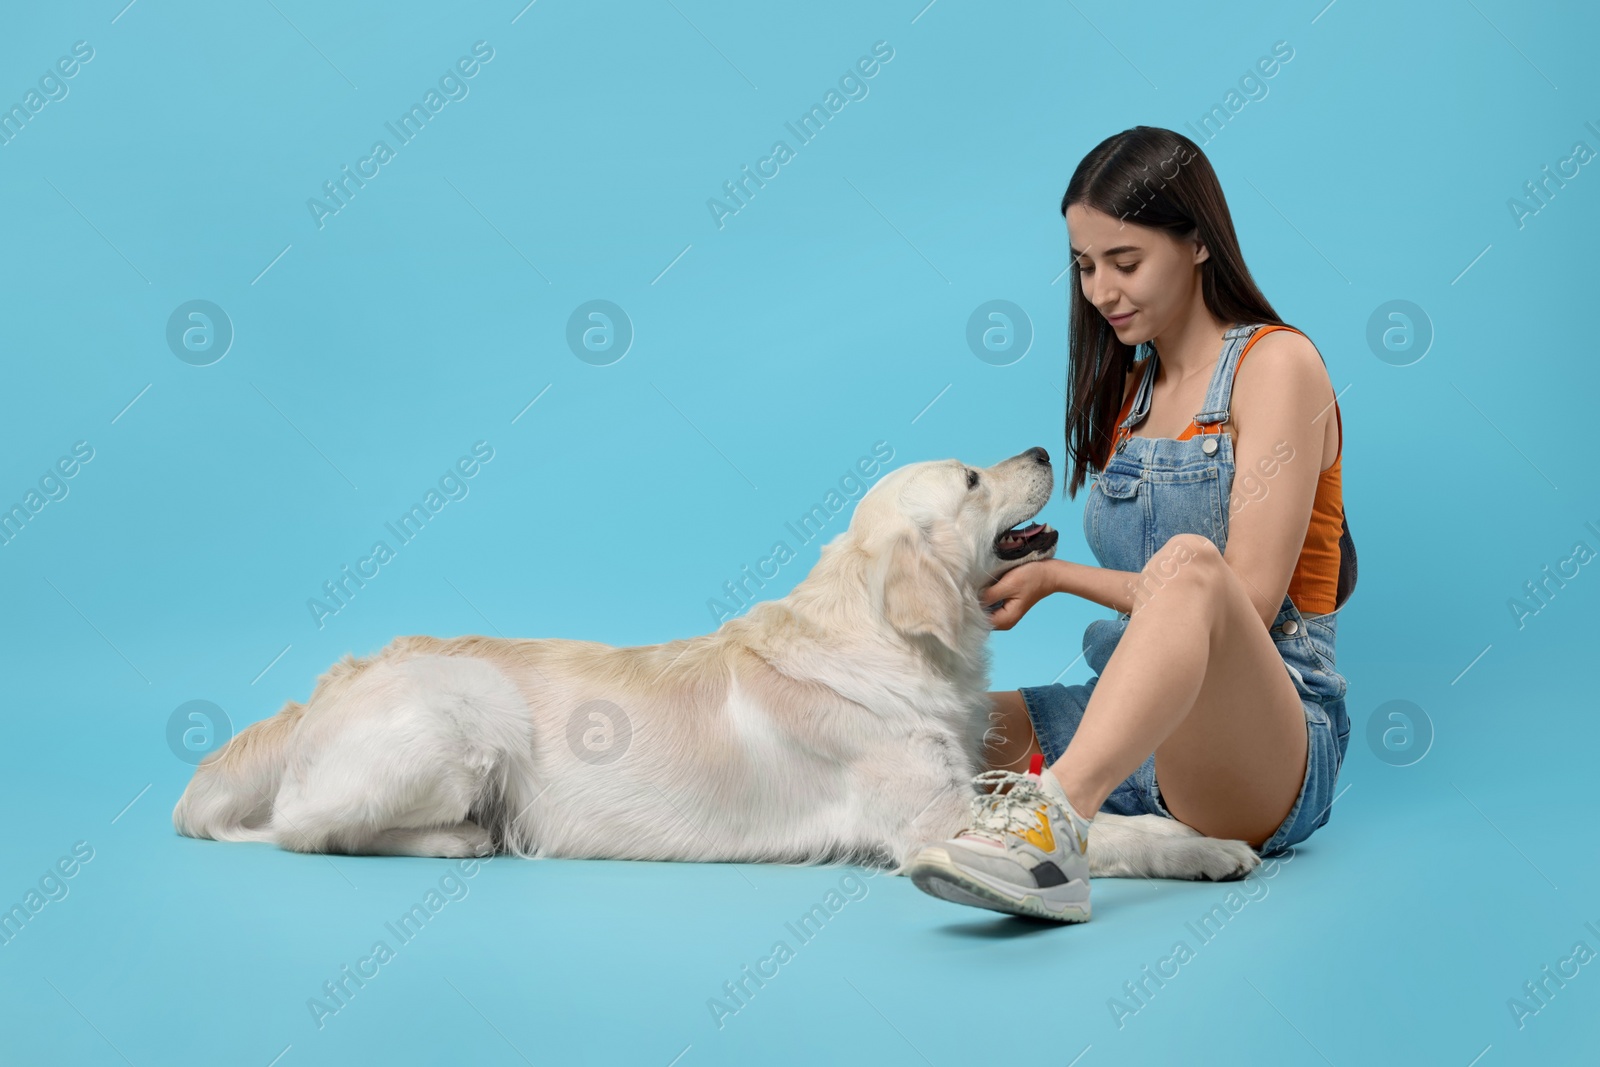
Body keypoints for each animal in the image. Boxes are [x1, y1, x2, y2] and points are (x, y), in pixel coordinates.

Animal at [175, 447, 1260, 883]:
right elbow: (1107, 835)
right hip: (468, 713)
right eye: (969, 477)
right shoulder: (936, 823)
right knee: (304, 827)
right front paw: (1206, 848)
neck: (887, 640)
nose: (1038, 447)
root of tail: (332, 680)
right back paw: (455, 838)